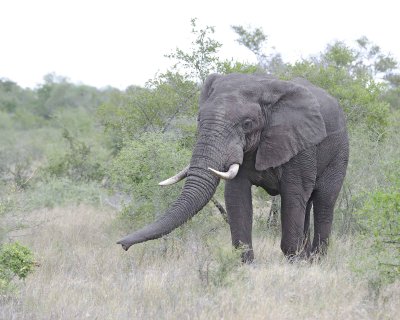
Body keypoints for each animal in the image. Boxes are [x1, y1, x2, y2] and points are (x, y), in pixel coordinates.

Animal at [117, 73, 348, 262]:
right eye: (198, 119)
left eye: (247, 124)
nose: (122, 245)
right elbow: (237, 196)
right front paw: (247, 265)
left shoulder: (301, 145)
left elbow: (293, 194)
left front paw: (295, 263)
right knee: (308, 203)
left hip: (340, 152)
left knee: (324, 200)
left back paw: (316, 260)